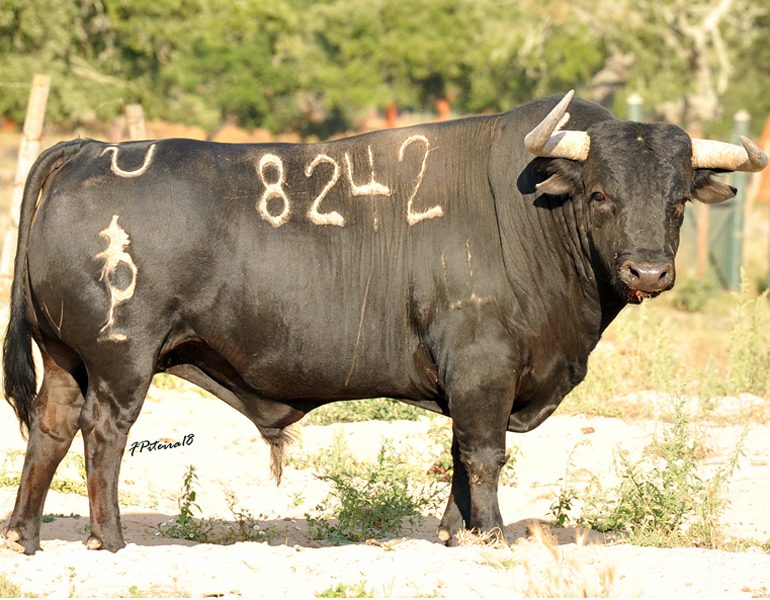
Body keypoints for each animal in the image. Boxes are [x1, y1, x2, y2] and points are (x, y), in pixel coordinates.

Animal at [2, 91, 766, 554]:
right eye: (601, 194)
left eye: (677, 201)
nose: (649, 271)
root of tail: (93, 150)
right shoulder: (483, 368)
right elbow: (484, 455)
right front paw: (493, 537)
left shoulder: (472, 383)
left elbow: (459, 456)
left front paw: (456, 535)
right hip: (121, 359)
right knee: (104, 436)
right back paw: (109, 539)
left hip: (66, 357)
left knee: (50, 431)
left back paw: (25, 536)